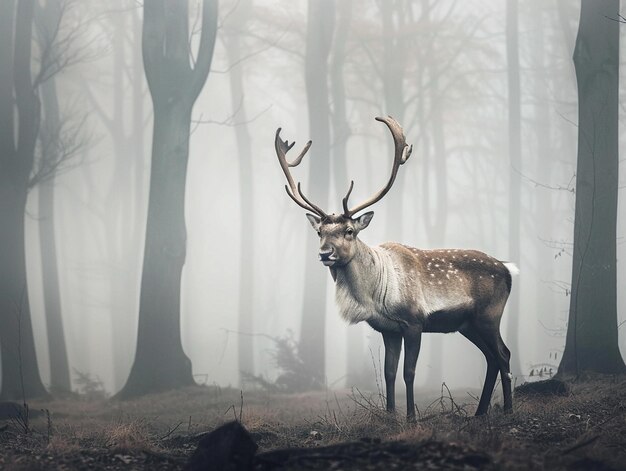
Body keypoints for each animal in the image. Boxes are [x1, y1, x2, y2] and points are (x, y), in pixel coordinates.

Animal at [276, 116, 516, 418]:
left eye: (349, 231)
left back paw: (508, 410)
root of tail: (509, 271)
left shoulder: (414, 321)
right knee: (491, 358)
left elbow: (408, 373)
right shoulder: (388, 329)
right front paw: (391, 415)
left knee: (503, 354)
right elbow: (389, 373)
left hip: (489, 315)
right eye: (320, 232)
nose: (325, 253)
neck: (376, 298)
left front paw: (411, 417)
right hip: (467, 324)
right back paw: (480, 412)